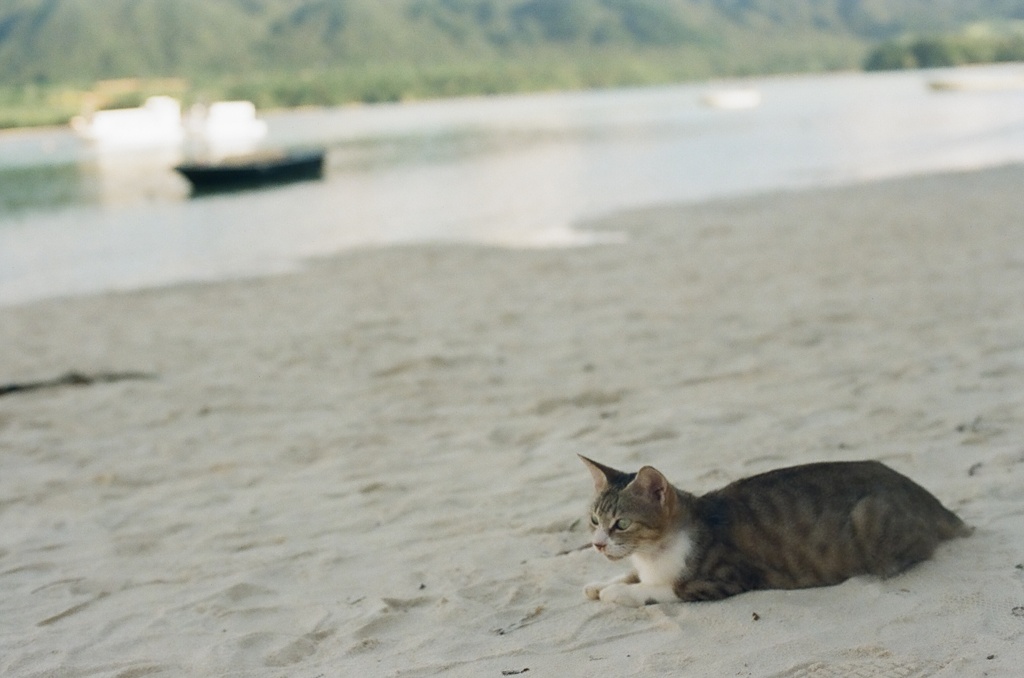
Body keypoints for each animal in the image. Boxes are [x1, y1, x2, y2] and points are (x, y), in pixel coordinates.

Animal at [581, 454, 970, 606]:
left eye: (622, 523)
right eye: (594, 520)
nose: (598, 545)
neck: (654, 555)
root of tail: (924, 496)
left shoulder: (723, 578)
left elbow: (663, 588)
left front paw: (619, 592)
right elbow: (629, 574)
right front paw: (601, 584)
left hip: (871, 516)